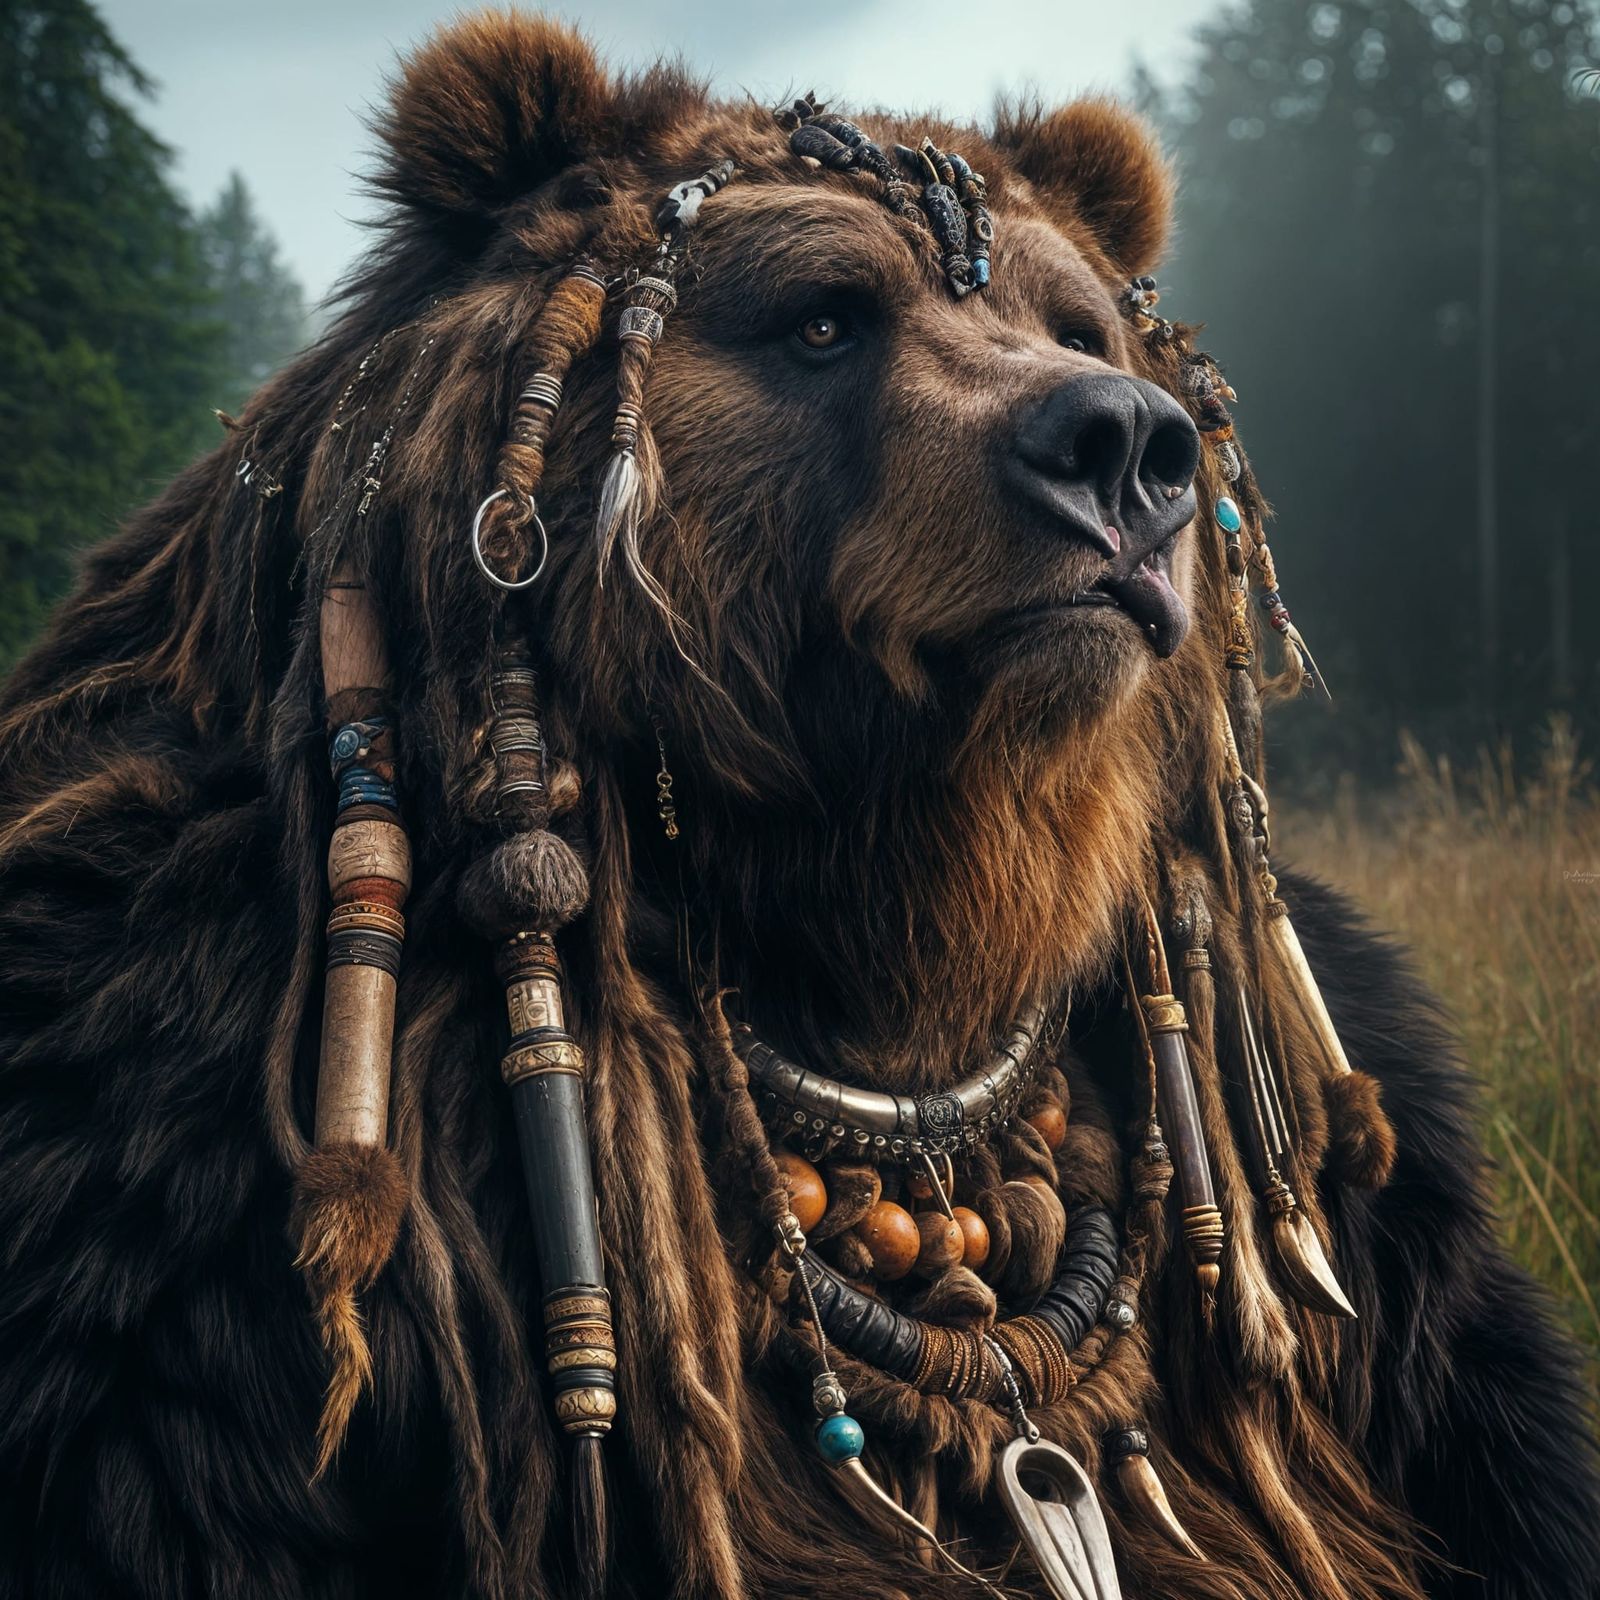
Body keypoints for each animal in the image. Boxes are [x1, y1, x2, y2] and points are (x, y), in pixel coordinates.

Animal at [0, 12, 1595, 1600]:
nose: (1126, 447)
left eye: (1076, 324)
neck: (864, 890)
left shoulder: (1410, 1270)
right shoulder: (170, 1206)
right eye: (823, 317)